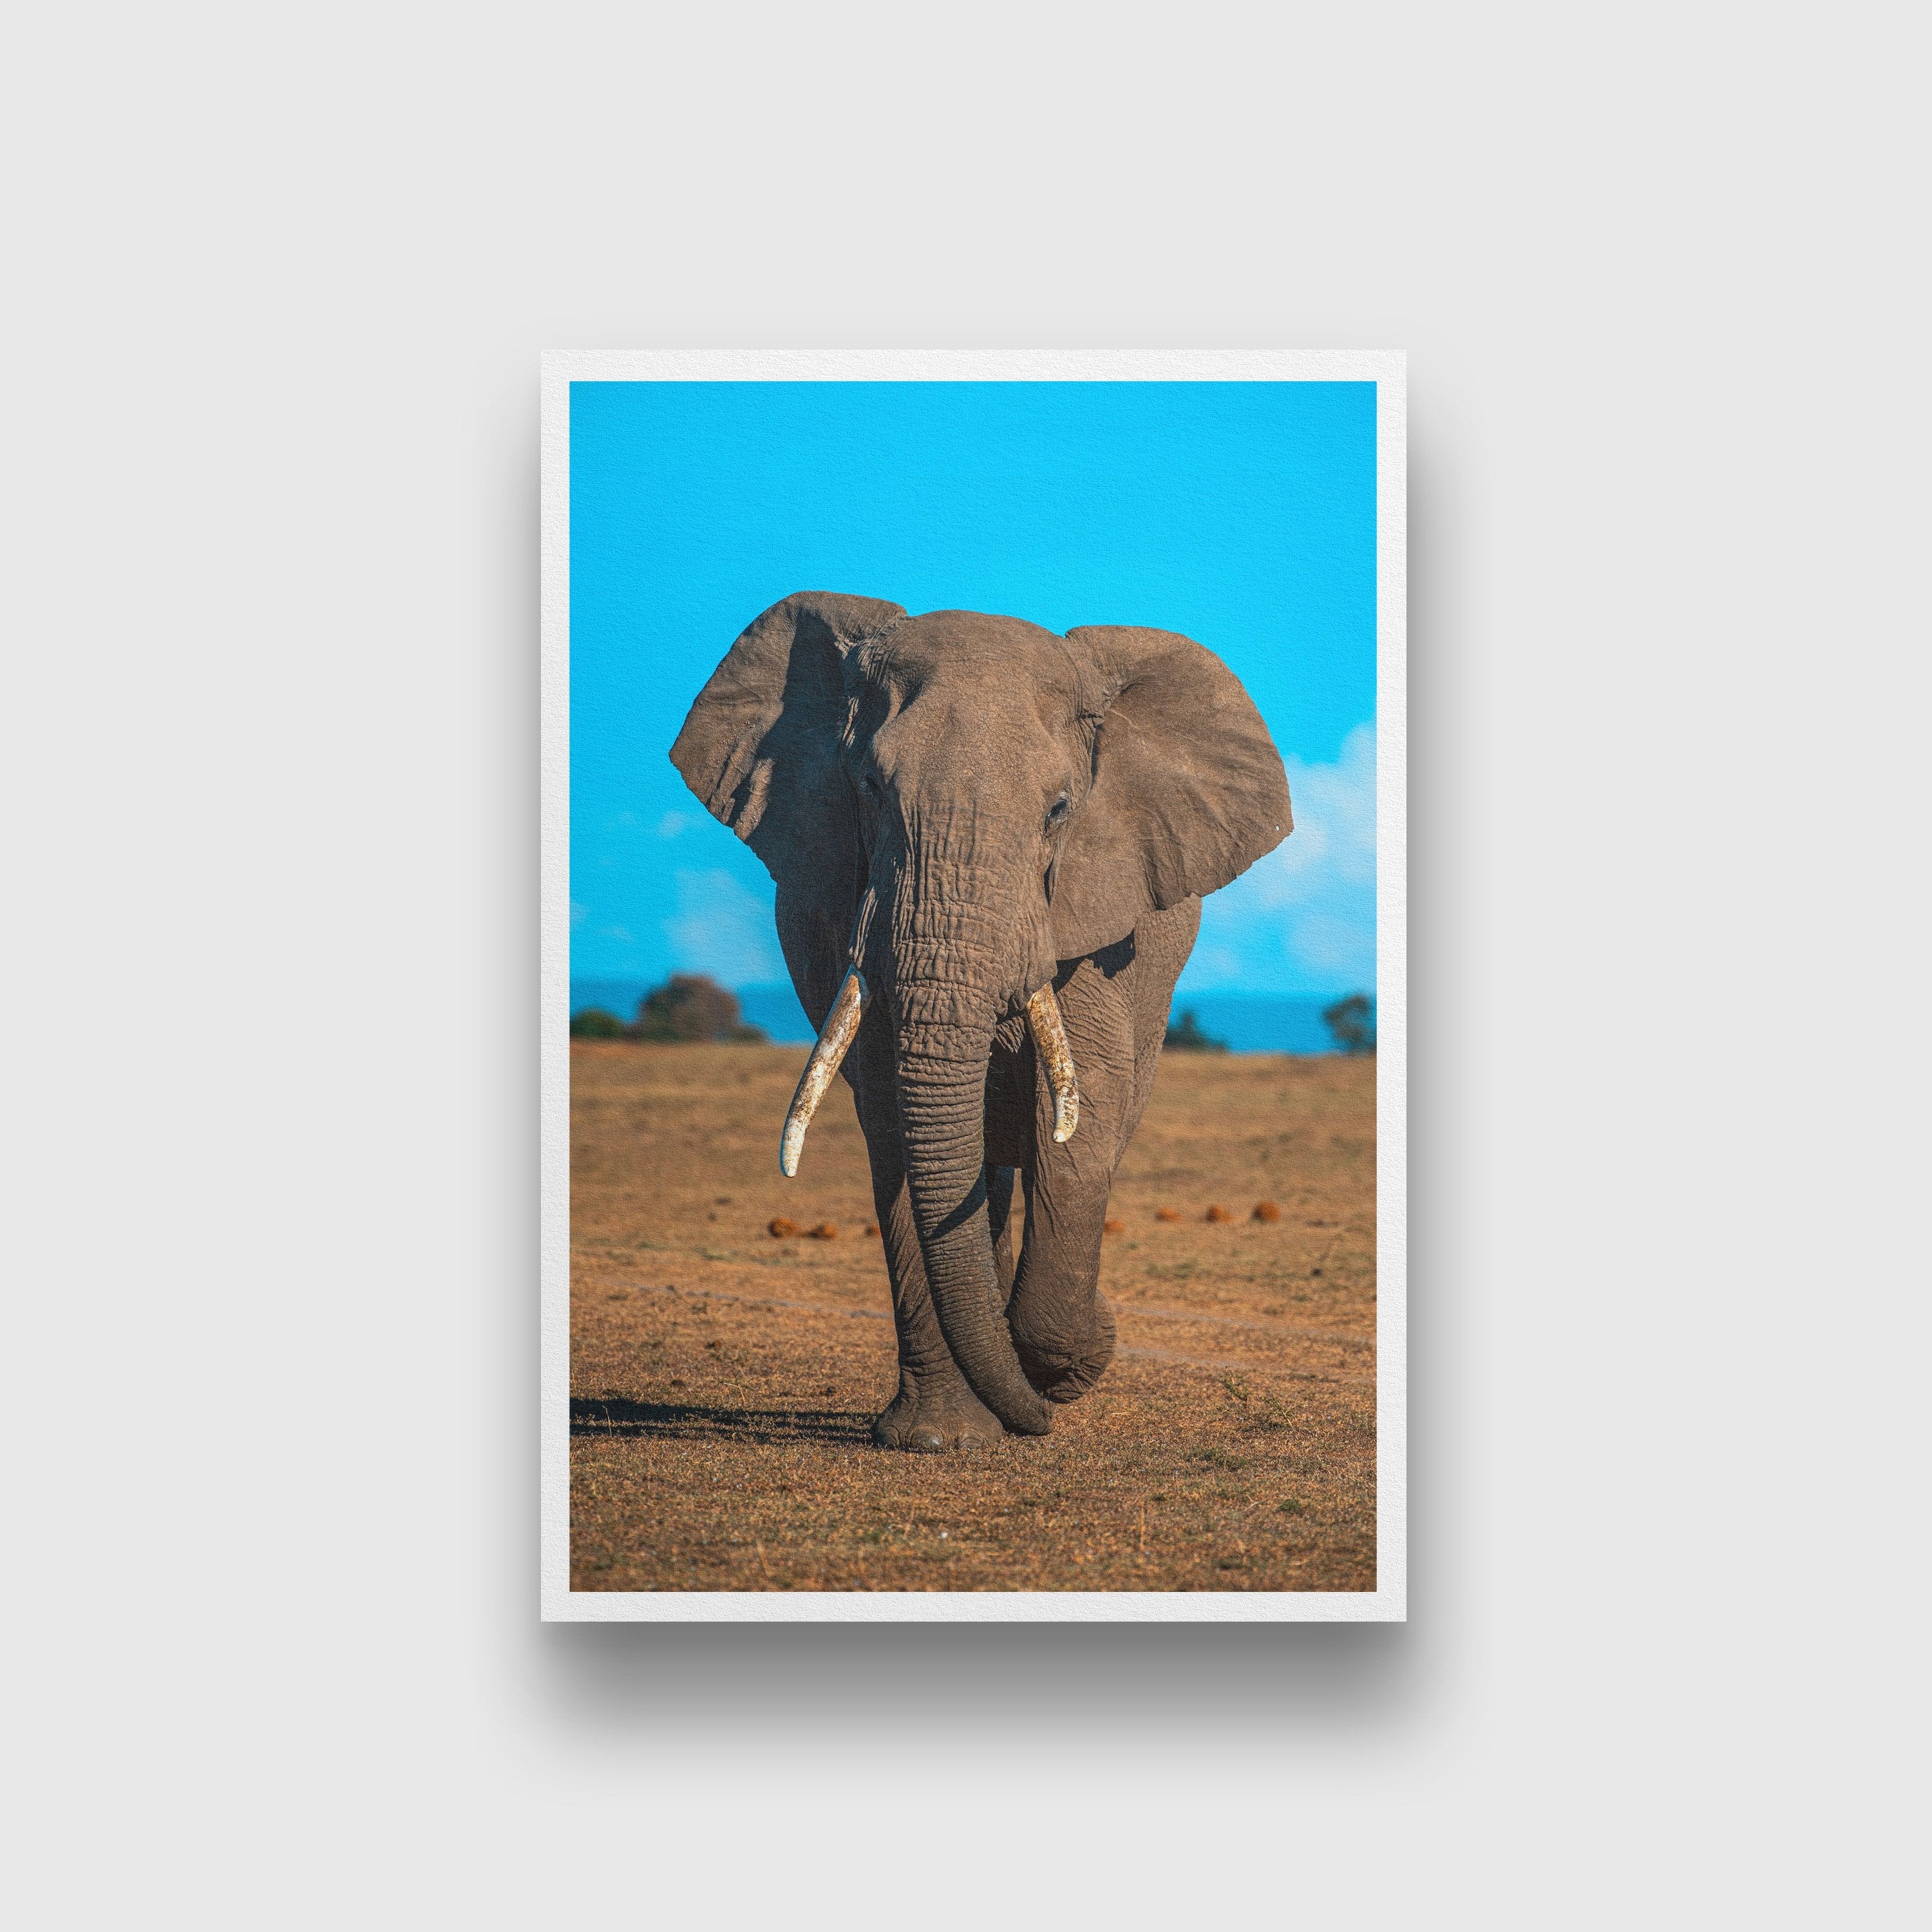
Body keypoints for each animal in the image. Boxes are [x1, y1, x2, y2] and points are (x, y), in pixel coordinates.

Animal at [671, 593, 1291, 1451]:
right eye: (869, 787)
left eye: (1060, 809)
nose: (1041, 1418)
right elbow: (898, 1124)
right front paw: (942, 1438)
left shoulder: (1089, 919)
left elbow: (1081, 1118)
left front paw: (1057, 1368)